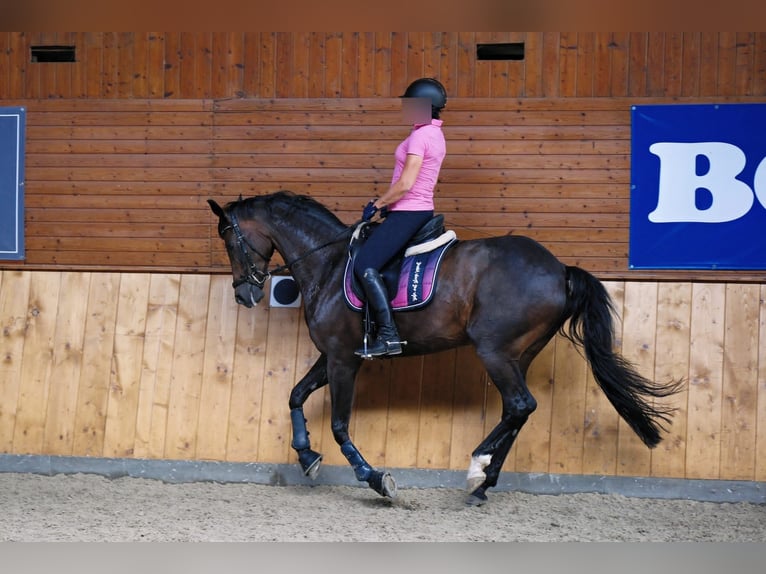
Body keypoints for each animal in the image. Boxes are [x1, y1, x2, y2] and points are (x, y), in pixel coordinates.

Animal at [207, 191, 680, 506]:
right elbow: (295, 395)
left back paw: (476, 469)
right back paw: (483, 483)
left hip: (494, 350)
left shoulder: (343, 359)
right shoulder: (332, 356)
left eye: (229, 240)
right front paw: (306, 455)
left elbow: (340, 425)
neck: (328, 263)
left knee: (520, 405)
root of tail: (559, 268)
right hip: (519, 354)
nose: (245, 294)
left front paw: (375, 478)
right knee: (518, 411)